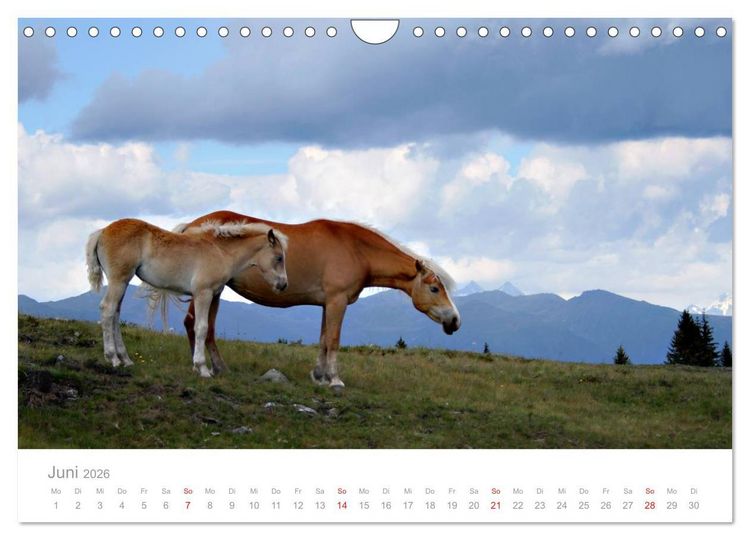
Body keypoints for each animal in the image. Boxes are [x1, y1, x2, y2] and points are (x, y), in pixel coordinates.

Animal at [85, 218, 289, 377]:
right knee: (107, 310)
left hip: (122, 282)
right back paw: (113, 358)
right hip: (119, 280)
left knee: (115, 314)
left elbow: (206, 328)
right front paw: (202, 368)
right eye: (279, 257)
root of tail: (103, 231)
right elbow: (201, 328)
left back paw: (125, 359)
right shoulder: (203, 293)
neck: (220, 251)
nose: (283, 284)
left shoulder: (213, 295)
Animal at [167, 211, 461, 388]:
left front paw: (319, 376)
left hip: (215, 291)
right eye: (435, 288)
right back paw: (206, 367)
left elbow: (323, 340)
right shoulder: (337, 302)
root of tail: (191, 226)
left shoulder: (326, 304)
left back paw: (217, 367)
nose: (455, 320)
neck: (356, 250)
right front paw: (335, 380)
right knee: (194, 324)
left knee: (206, 329)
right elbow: (334, 340)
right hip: (208, 291)